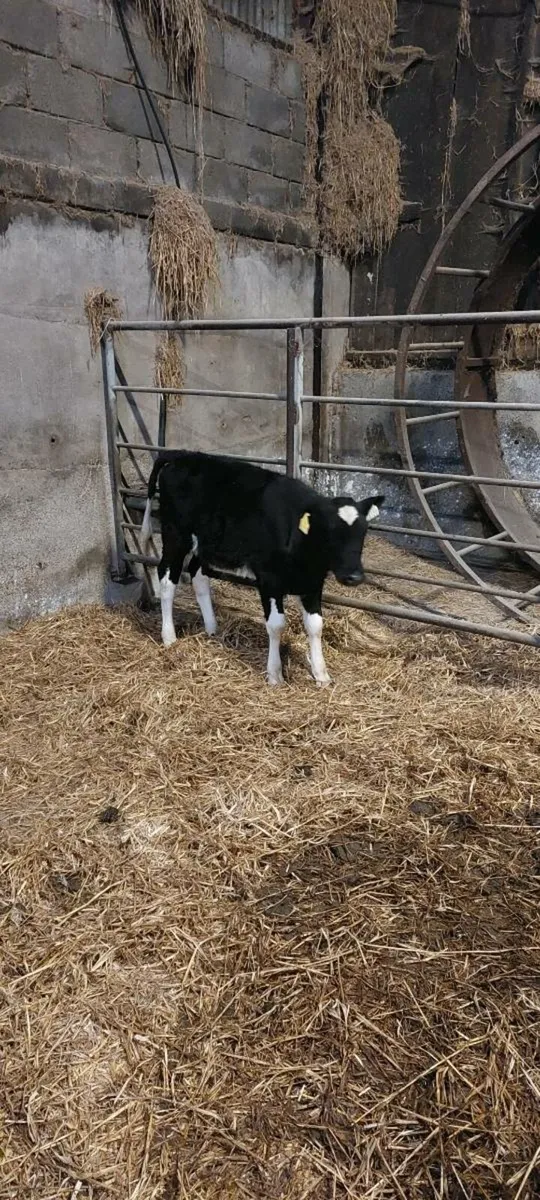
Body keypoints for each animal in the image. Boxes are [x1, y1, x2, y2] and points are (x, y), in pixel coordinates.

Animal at [141, 450, 383, 686]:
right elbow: (276, 625)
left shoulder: (313, 583)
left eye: (363, 531)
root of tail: (180, 455)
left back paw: (211, 628)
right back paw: (169, 637)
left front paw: (321, 674)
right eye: (329, 531)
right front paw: (275, 674)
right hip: (176, 536)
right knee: (166, 579)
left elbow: (315, 625)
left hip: (204, 544)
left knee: (199, 577)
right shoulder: (269, 579)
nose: (354, 576)